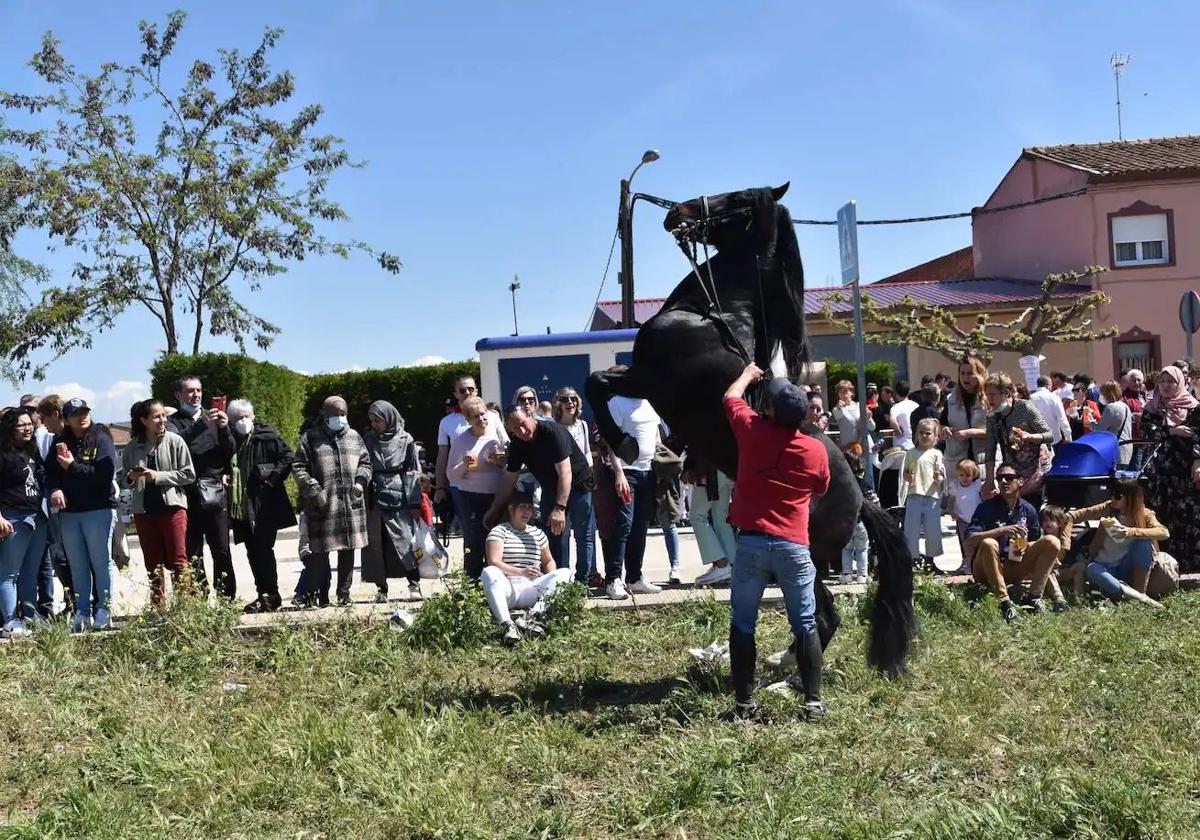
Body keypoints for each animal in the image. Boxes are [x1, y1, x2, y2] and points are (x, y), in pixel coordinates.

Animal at [585, 182, 912, 676]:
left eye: (736, 198)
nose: (676, 213)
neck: (709, 314)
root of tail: (862, 501)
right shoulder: (644, 380)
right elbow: (597, 383)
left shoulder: (650, 380)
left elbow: (596, 383)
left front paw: (623, 444)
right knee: (821, 616)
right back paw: (783, 661)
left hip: (802, 557)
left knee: (824, 614)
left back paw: (787, 672)